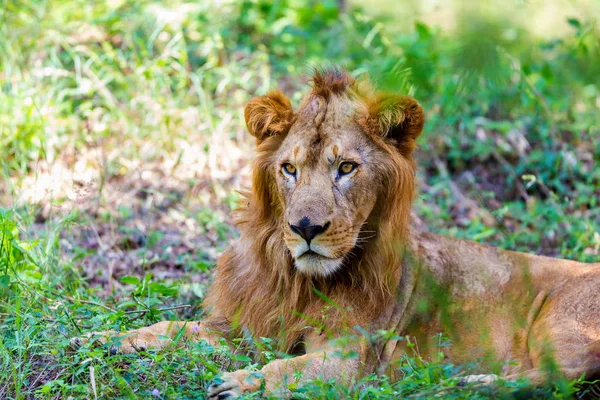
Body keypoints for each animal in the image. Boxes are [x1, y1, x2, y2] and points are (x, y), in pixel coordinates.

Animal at [72, 68, 600, 396]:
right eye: (289, 169)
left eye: (346, 167)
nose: (306, 227)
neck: (295, 279)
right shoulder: (244, 328)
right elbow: (173, 330)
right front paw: (101, 338)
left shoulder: (349, 357)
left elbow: (290, 368)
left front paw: (240, 383)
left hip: (560, 318)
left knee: (563, 375)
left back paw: (459, 385)